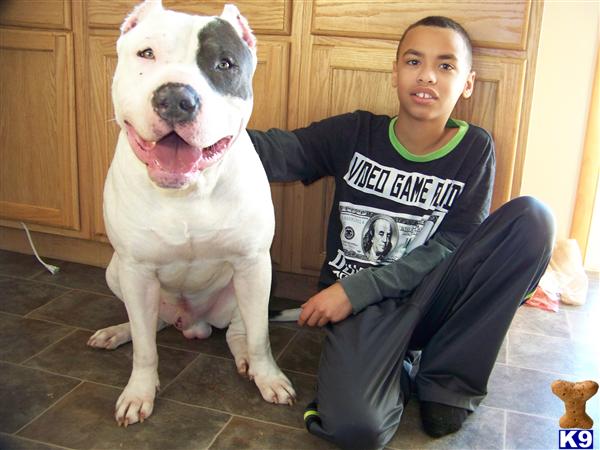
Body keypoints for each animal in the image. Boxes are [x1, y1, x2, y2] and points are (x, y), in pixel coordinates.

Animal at [86, 0, 296, 428]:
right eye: (146, 53)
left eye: (225, 64)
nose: (176, 99)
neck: (187, 191)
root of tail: (194, 323)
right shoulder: (136, 270)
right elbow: (146, 349)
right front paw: (139, 392)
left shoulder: (254, 261)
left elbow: (260, 337)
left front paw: (268, 375)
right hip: (118, 273)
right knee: (150, 324)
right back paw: (118, 332)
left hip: (254, 283)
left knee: (240, 331)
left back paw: (247, 360)